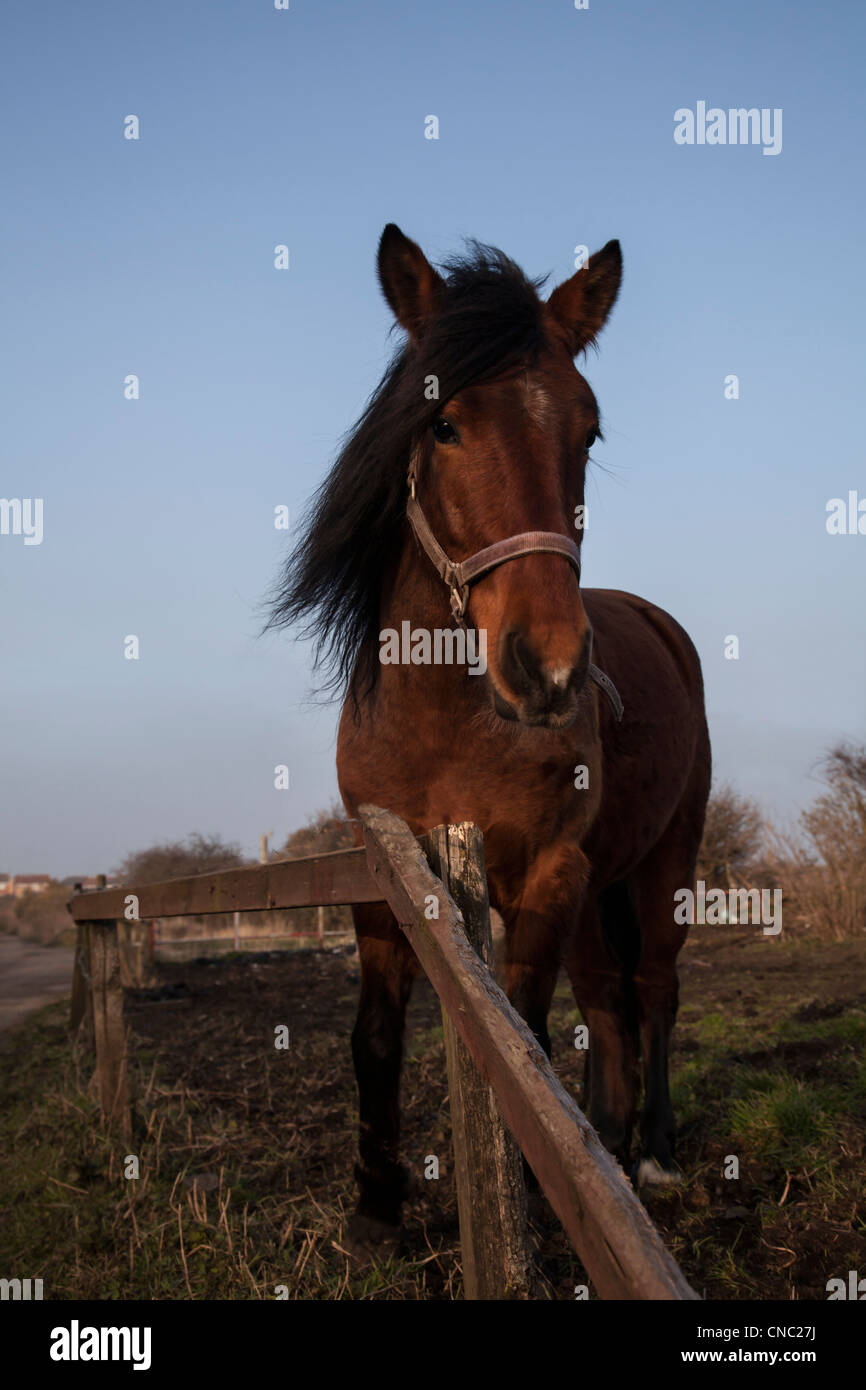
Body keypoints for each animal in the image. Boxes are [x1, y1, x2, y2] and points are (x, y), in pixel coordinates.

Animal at [268, 224, 711, 1253]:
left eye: (588, 431)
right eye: (443, 424)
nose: (548, 668)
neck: (444, 726)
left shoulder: (547, 873)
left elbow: (525, 1042)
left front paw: (538, 1208)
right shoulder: (381, 882)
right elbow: (377, 1038)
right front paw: (377, 1203)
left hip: (664, 857)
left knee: (652, 993)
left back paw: (653, 1154)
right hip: (598, 886)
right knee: (609, 1004)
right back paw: (607, 1139)